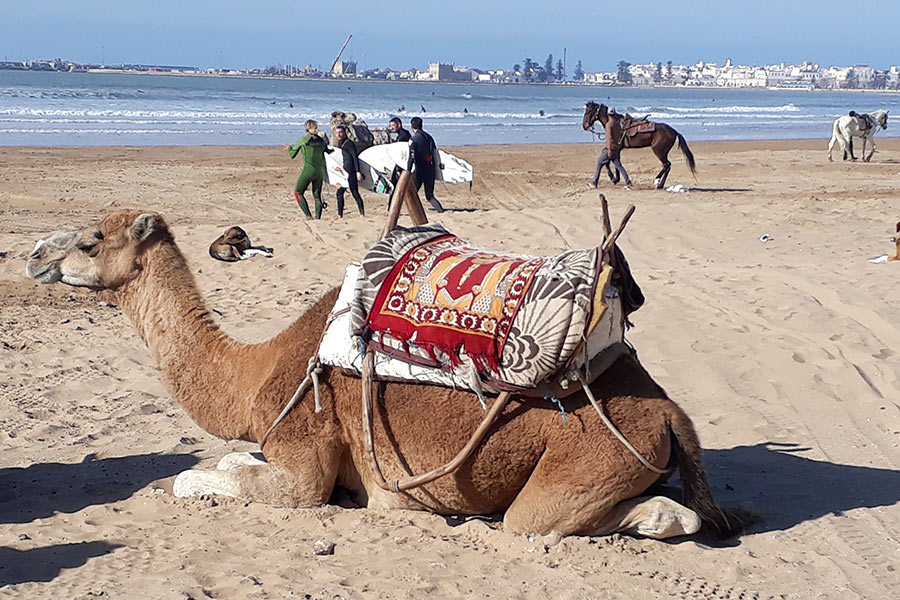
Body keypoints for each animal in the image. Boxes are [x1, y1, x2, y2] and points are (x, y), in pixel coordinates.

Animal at [26, 212, 744, 544]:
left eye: (90, 241)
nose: (32, 255)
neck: (256, 374)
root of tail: (670, 412)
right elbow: (227, 462)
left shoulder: (305, 453)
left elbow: (190, 479)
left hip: (582, 464)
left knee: (603, 519)